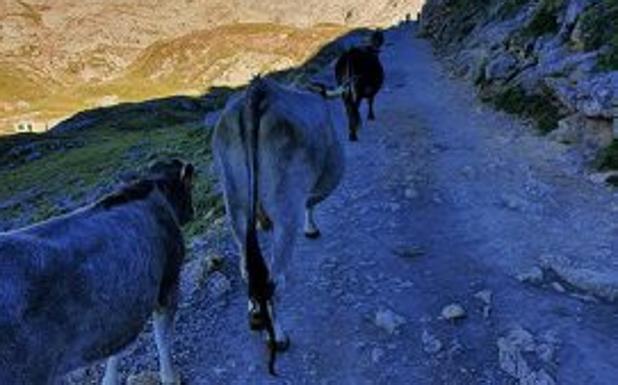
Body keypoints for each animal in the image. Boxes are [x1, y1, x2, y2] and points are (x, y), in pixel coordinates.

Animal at [0, 158, 194, 384]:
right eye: (189, 185)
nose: (192, 212)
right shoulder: (169, 280)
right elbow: (162, 337)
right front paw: (170, 377)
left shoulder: (122, 309)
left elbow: (116, 348)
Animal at [211, 75, 348, 372]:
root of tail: (258, 91)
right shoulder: (309, 191)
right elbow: (310, 204)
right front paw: (311, 228)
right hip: (285, 203)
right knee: (275, 280)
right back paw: (278, 336)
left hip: (234, 202)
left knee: (247, 268)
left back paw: (255, 313)